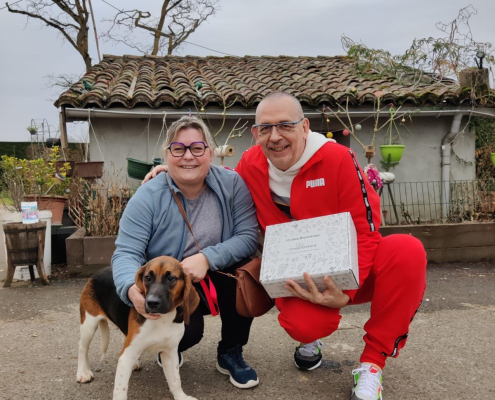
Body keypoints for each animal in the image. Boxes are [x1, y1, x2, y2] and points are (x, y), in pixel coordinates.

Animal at [75, 256, 200, 400]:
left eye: (171, 278)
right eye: (147, 277)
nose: (151, 303)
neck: (162, 319)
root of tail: (98, 272)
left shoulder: (170, 352)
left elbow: (175, 381)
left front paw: (181, 396)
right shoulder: (126, 357)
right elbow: (120, 389)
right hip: (89, 324)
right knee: (82, 347)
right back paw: (83, 372)